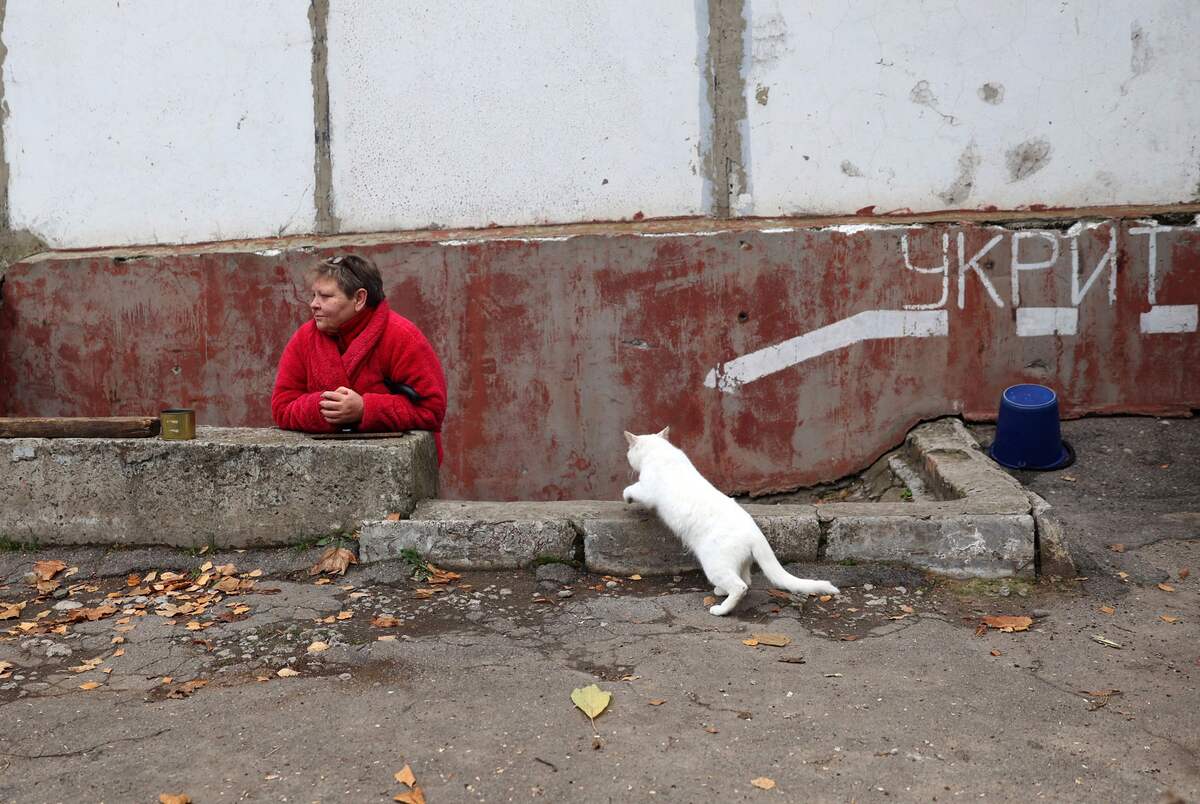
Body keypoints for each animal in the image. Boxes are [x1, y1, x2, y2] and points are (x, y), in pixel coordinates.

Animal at [624, 427, 840, 619]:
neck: (660, 451)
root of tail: (755, 533)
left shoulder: (647, 491)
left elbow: (632, 489)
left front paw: (627, 497)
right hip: (739, 562)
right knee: (746, 579)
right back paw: (721, 591)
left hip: (714, 564)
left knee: (740, 586)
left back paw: (721, 609)